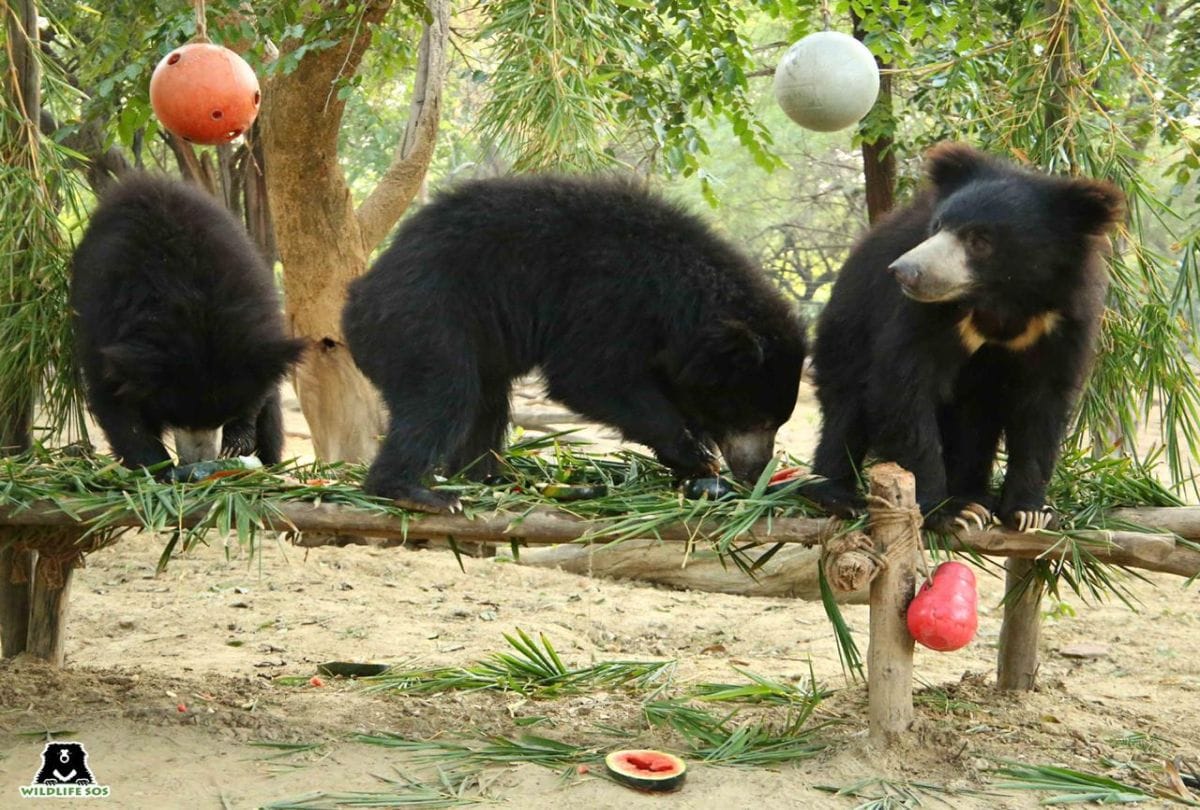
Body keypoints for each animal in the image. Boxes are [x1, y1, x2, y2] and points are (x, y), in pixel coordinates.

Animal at [70, 174, 305, 470]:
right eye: (178, 416)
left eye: (223, 416)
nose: (200, 460)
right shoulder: (103, 314)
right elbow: (114, 398)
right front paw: (156, 466)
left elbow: (261, 388)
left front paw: (236, 443)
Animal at [342, 174, 807, 513]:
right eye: (758, 419)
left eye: (777, 422)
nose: (757, 471)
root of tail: (355, 304)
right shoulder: (607, 295)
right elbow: (589, 376)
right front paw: (697, 454)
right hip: (425, 319)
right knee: (442, 396)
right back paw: (419, 493)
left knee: (485, 405)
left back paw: (493, 477)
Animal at [807, 142, 1124, 532]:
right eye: (938, 226)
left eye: (980, 240)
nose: (903, 271)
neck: (1002, 301)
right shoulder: (924, 314)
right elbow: (903, 386)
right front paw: (943, 511)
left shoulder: (1060, 322)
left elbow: (1042, 406)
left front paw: (1030, 511)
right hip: (847, 329)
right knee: (846, 404)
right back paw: (836, 495)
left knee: (976, 422)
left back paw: (974, 495)